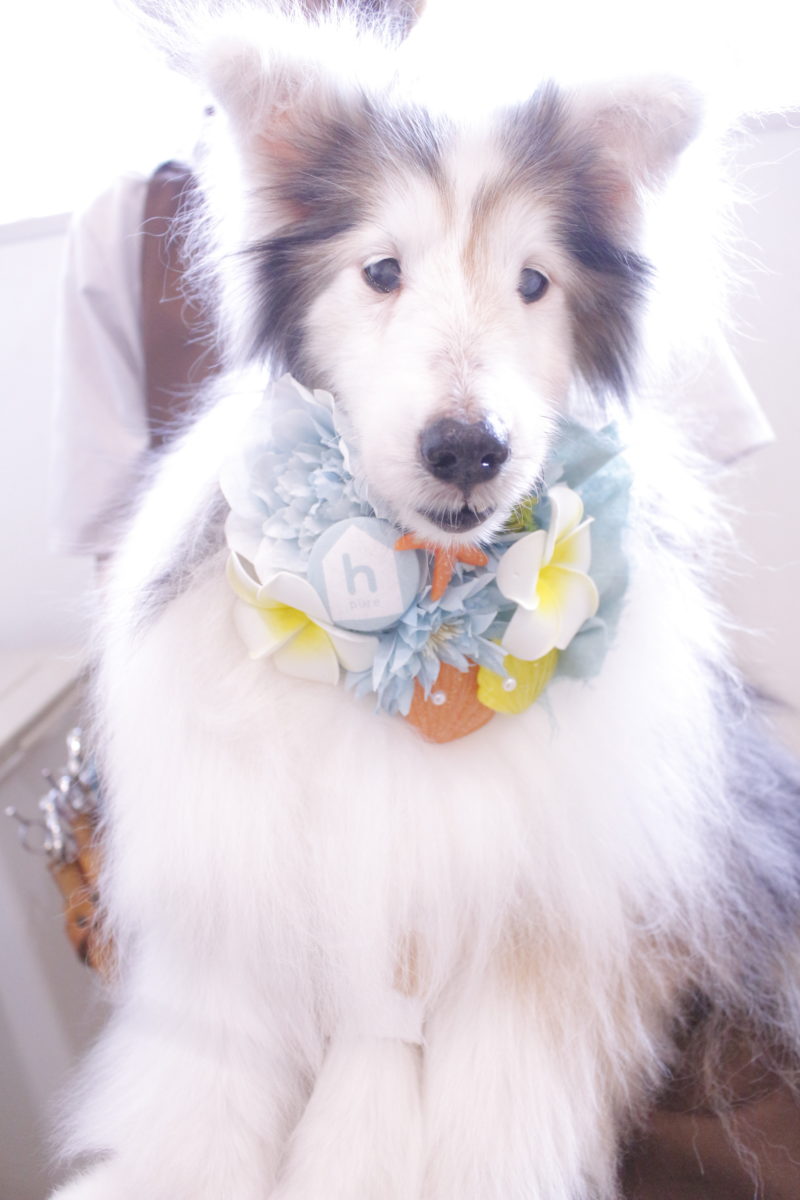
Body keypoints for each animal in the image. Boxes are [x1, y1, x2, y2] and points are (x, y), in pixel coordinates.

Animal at [53, 8, 800, 1199]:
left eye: (534, 283)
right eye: (381, 271)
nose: (465, 449)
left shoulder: (546, 936)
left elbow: (465, 1108)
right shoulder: (235, 940)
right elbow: (195, 1109)